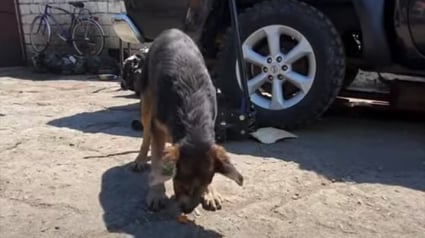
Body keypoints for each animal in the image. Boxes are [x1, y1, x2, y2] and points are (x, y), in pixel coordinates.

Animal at [132, 28, 242, 213]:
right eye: (180, 183)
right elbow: (157, 161)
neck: (193, 118)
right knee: (146, 135)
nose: (187, 210)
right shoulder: (158, 126)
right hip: (147, 102)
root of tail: (172, 30)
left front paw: (210, 193)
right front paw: (156, 193)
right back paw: (140, 159)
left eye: (206, 182)